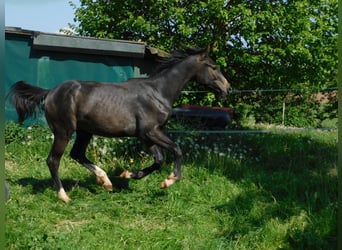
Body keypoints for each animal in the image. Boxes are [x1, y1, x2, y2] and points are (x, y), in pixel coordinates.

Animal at [8, 47, 231, 202]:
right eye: (213, 67)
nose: (227, 89)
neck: (158, 93)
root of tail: (50, 92)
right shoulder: (150, 132)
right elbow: (176, 149)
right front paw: (169, 180)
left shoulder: (146, 135)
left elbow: (159, 159)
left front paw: (128, 174)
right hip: (64, 131)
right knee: (53, 160)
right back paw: (64, 196)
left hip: (85, 132)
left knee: (77, 154)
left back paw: (105, 182)